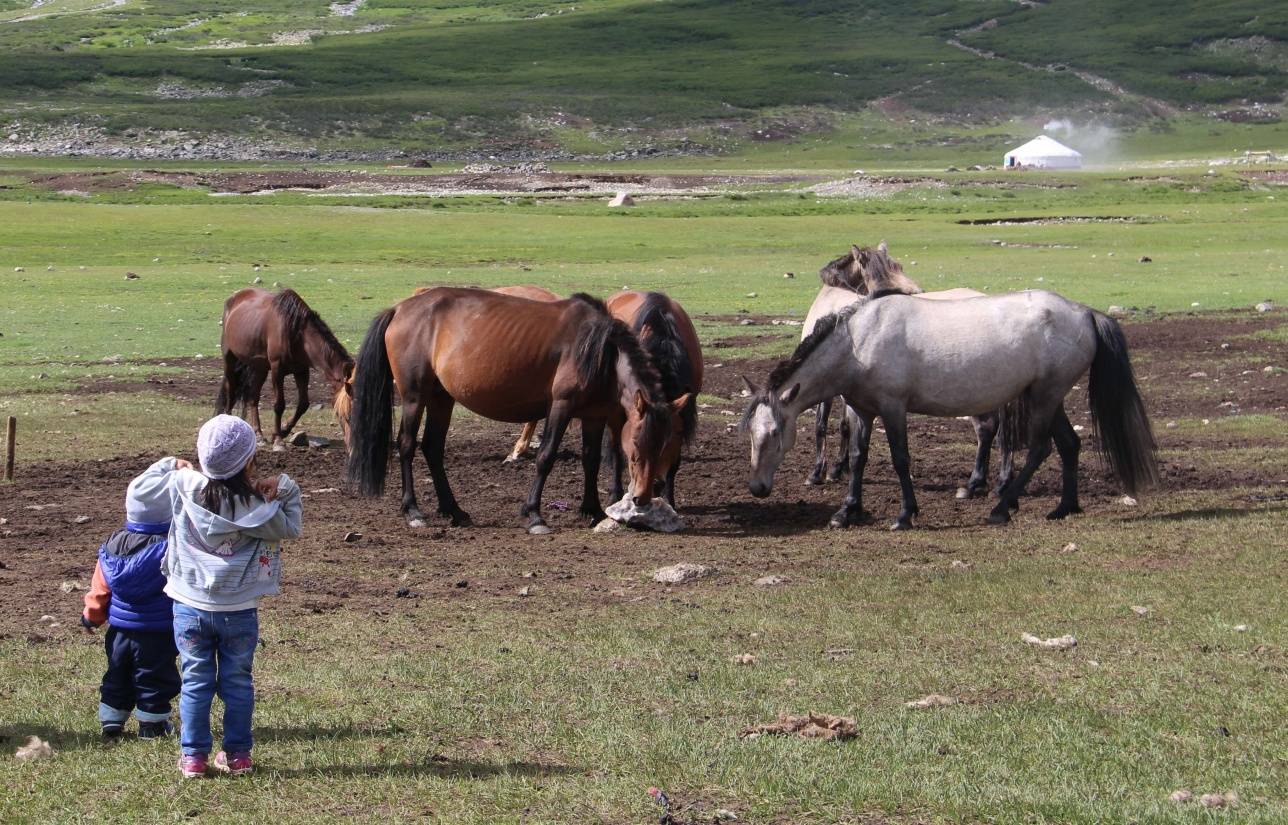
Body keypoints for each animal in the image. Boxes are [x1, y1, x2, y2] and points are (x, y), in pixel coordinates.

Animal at [216, 285, 355, 447]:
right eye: (344, 414)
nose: (352, 443)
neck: (298, 334)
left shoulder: (302, 370)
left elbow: (303, 404)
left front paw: (283, 431)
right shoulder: (277, 370)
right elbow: (279, 405)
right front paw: (278, 440)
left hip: (259, 367)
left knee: (253, 398)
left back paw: (259, 434)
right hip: (230, 360)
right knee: (231, 393)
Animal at [340, 289, 685, 535]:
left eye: (666, 445)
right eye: (635, 447)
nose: (642, 497)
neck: (601, 351)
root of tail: (399, 309)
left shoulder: (594, 415)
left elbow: (590, 459)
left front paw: (593, 510)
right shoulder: (560, 406)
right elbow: (546, 457)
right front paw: (534, 515)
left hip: (441, 398)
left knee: (433, 448)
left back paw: (454, 510)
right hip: (414, 396)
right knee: (408, 446)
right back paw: (412, 510)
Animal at [741, 289, 1164, 530]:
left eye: (776, 433)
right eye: (750, 432)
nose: (757, 487)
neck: (858, 344)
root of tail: (1086, 312)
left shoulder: (893, 409)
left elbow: (900, 459)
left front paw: (905, 515)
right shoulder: (862, 410)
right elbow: (858, 458)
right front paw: (847, 512)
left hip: (1044, 396)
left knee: (1041, 448)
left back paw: (1002, 508)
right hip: (1048, 396)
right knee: (1068, 445)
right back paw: (1064, 508)